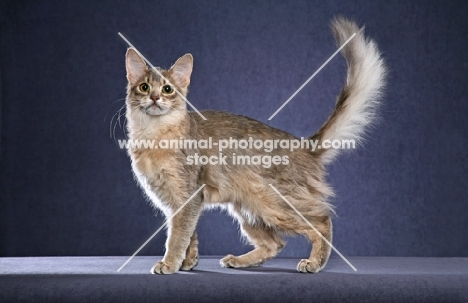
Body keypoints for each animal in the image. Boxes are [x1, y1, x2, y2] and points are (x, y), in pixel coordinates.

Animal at [123, 17, 384, 276]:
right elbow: (189, 236)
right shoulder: (175, 202)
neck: (153, 134)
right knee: (275, 243)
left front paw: (169, 264)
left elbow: (177, 237)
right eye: (144, 87)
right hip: (249, 208)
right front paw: (188, 263)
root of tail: (304, 146)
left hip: (275, 205)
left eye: (167, 89)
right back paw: (239, 261)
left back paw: (314, 263)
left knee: (321, 220)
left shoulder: (186, 196)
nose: (154, 98)